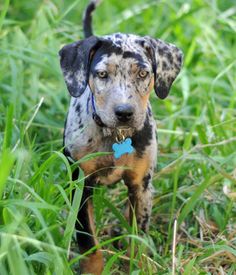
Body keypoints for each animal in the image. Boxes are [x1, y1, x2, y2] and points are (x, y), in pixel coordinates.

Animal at [58, 1, 183, 274]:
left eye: (143, 74)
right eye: (102, 74)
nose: (124, 112)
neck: (115, 136)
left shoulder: (141, 186)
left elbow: (136, 236)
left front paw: (136, 265)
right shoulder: (81, 184)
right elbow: (88, 240)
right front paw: (93, 269)